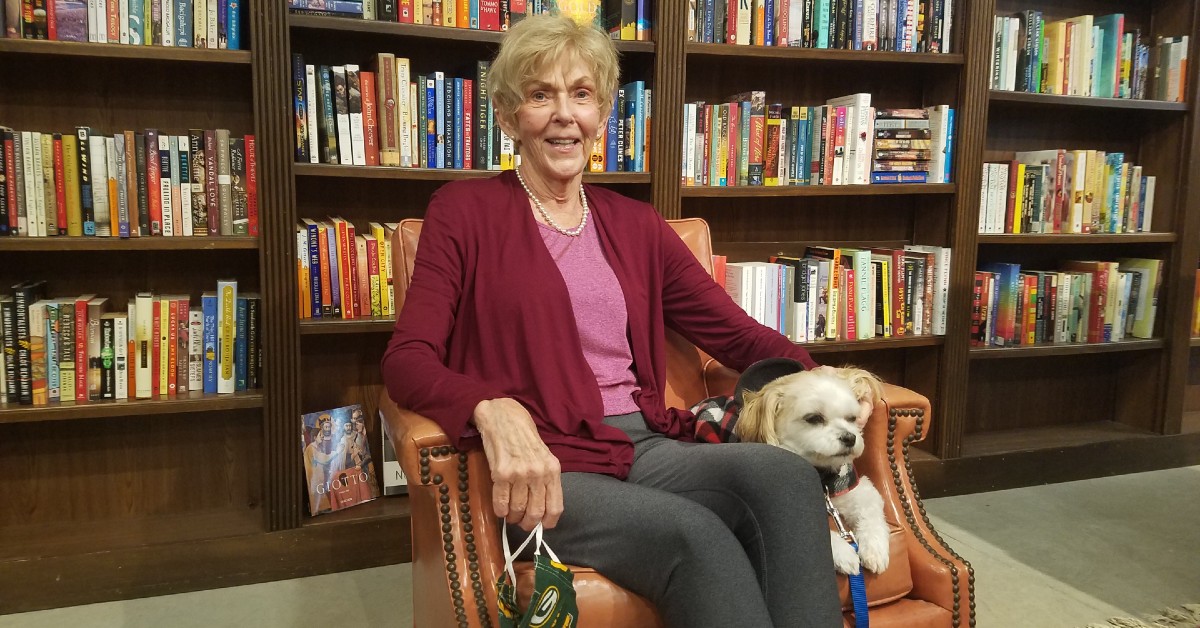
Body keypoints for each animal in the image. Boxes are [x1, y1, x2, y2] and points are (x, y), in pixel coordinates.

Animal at [734, 365, 888, 578]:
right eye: (814, 418)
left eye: (852, 418)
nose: (850, 438)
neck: (822, 478)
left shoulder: (858, 489)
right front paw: (844, 553)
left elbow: (871, 511)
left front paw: (875, 549)